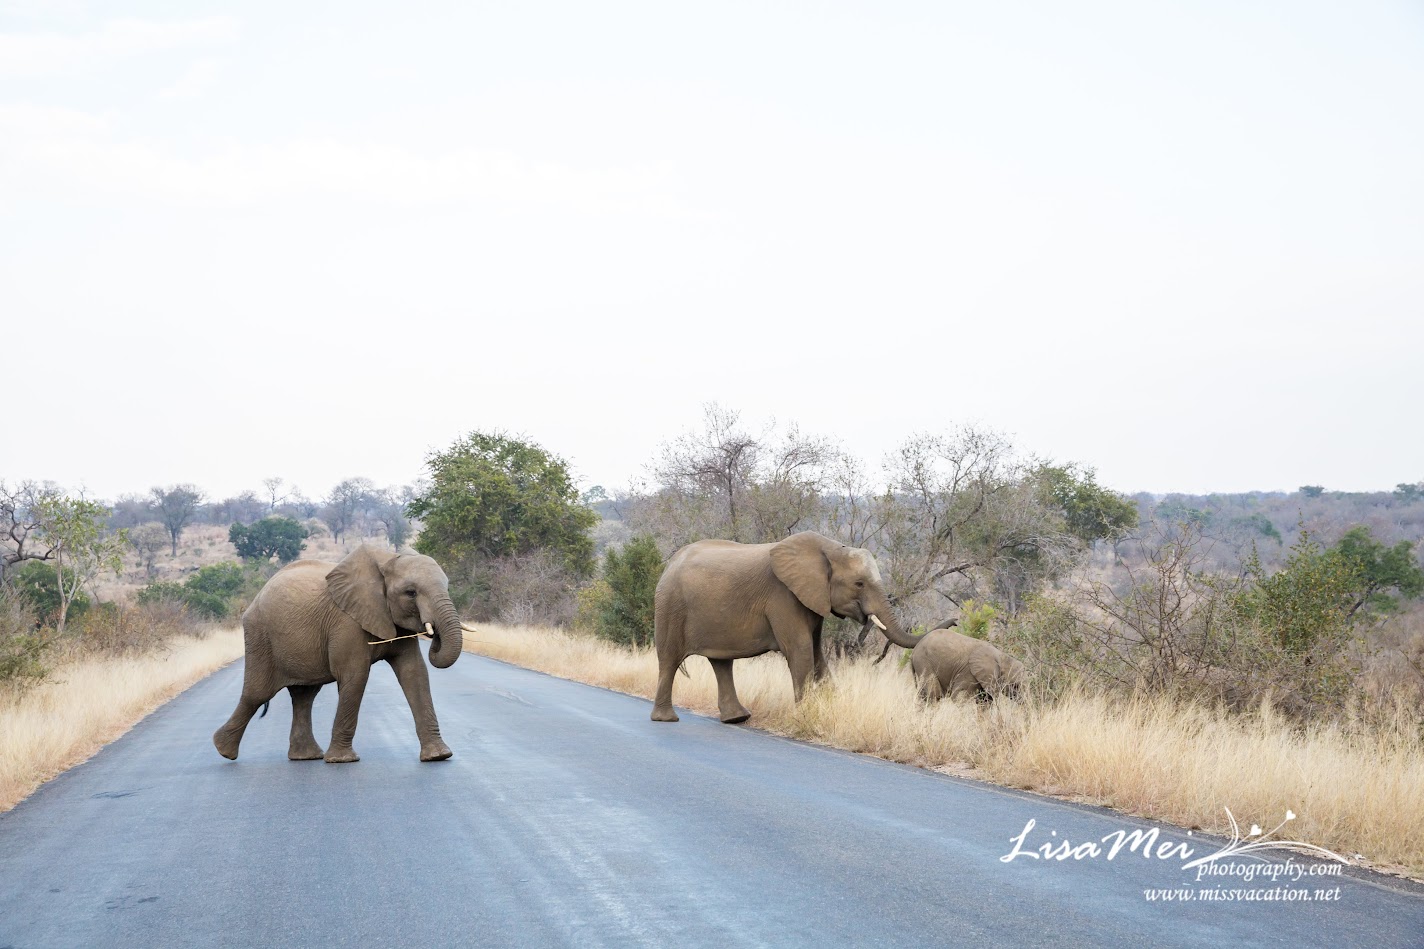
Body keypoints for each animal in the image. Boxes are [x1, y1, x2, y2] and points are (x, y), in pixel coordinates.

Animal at [212, 544, 464, 763]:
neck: (386, 559)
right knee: (256, 694)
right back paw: (224, 751)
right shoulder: (346, 621)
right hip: (260, 634)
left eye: (447, 587)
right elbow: (356, 675)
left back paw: (306, 756)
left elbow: (414, 673)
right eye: (411, 593)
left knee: (304, 696)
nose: (434, 633)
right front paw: (342, 760)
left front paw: (438, 756)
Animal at [651, 530, 920, 724]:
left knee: (721, 663)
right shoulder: (783, 597)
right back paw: (666, 719)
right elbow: (800, 651)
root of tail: (669, 563)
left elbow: (817, 653)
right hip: (670, 606)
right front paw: (807, 716)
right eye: (859, 584)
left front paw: (833, 707)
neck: (830, 548)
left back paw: (737, 718)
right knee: (670, 659)